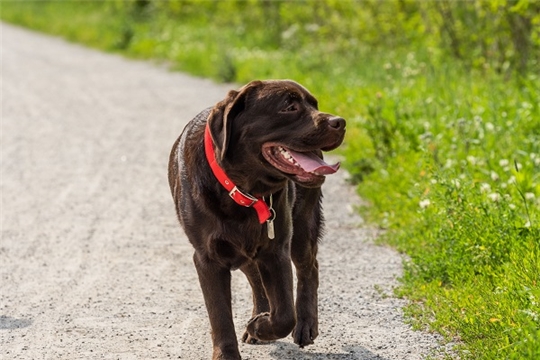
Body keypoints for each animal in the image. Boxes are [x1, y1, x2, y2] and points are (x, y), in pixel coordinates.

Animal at [168, 80, 346, 358]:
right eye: (289, 107)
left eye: (314, 104)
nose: (340, 122)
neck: (243, 190)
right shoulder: (208, 258)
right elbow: (220, 315)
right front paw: (228, 352)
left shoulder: (276, 249)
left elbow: (284, 315)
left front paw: (260, 325)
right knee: (255, 276)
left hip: (302, 226)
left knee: (309, 268)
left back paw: (305, 325)